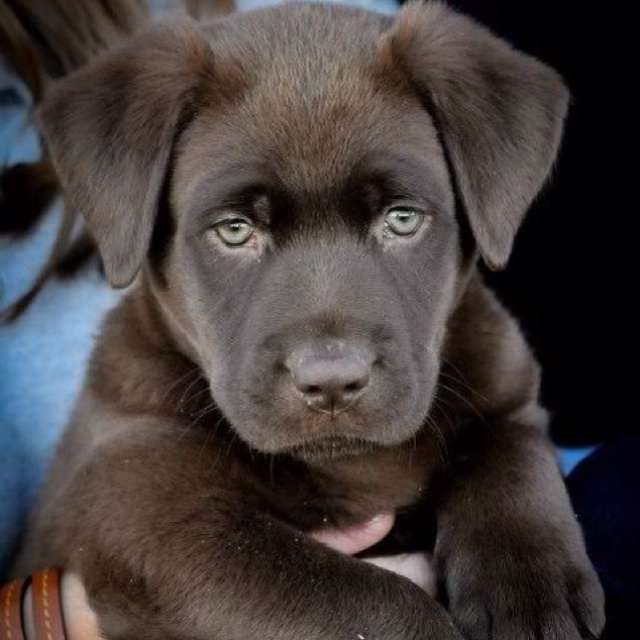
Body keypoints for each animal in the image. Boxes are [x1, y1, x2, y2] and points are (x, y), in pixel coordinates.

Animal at [15, 1, 604, 640]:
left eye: (402, 219)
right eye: (234, 230)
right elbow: (358, 602)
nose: (332, 383)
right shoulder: (146, 507)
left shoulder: (507, 388)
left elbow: (512, 454)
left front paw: (533, 590)